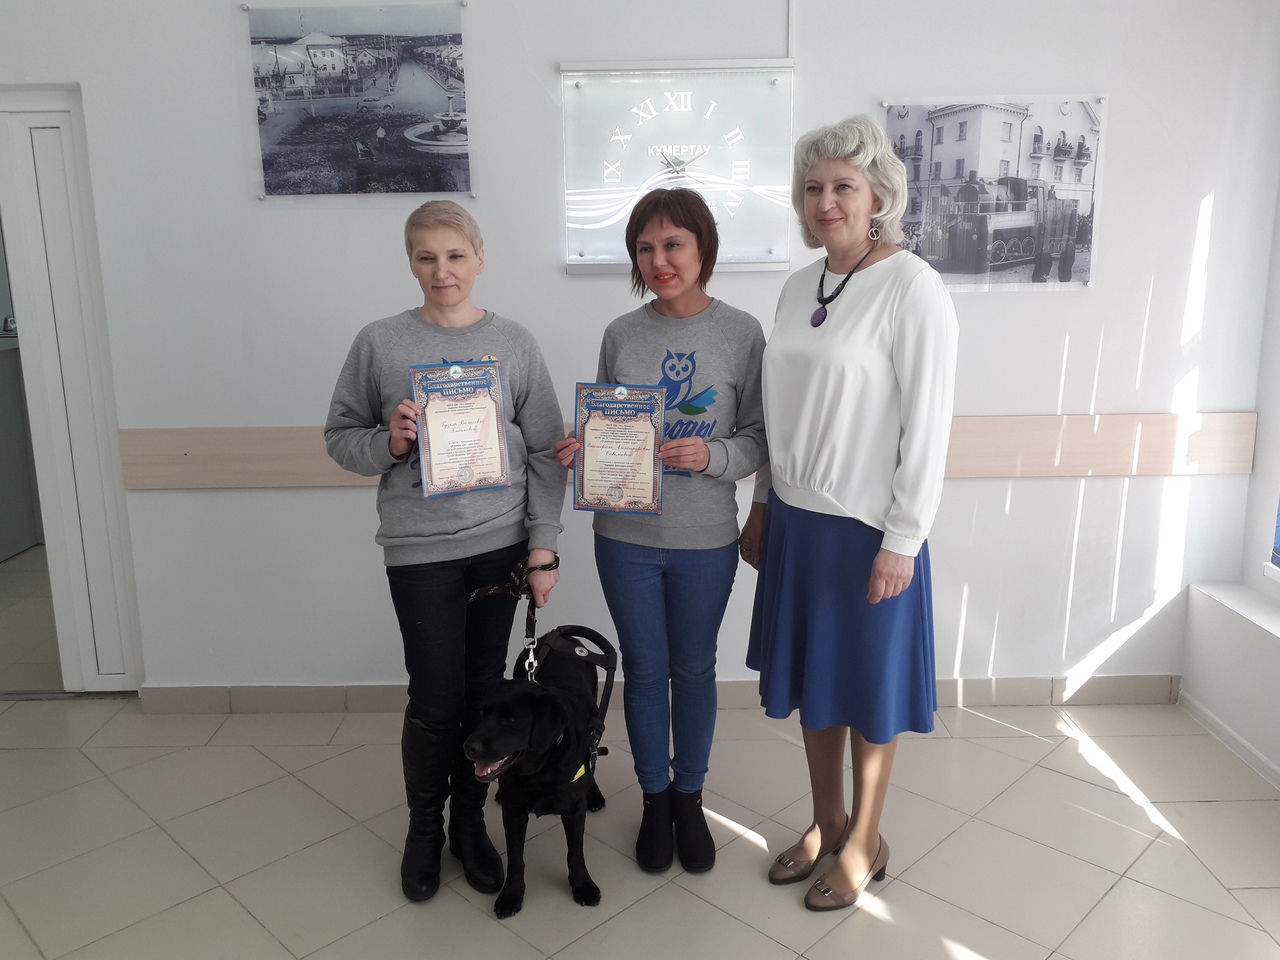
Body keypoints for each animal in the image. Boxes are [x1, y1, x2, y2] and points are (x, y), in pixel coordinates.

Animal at [463, 634, 607, 918]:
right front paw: (511, 894)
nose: (468, 747)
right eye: (482, 713)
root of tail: (566, 636)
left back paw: (594, 794)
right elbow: (516, 858)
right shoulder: (514, 813)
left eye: (510, 720)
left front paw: (582, 885)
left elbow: (575, 852)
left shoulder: (574, 811)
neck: (539, 770)